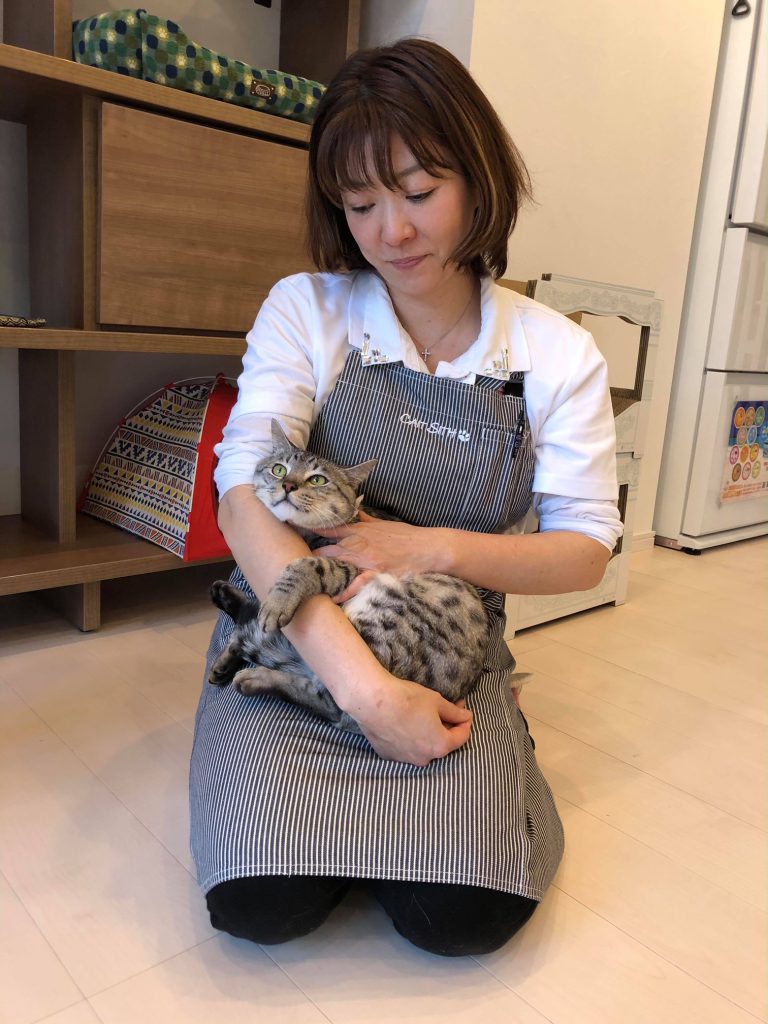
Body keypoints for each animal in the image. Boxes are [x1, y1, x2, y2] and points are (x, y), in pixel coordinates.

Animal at [207, 419, 489, 733]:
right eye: (279, 469)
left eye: (318, 480)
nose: (288, 484)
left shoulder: (355, 564)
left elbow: (308, 565)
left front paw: (278, 602)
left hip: (383, 622)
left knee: (334, 702)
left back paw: (255, 676)